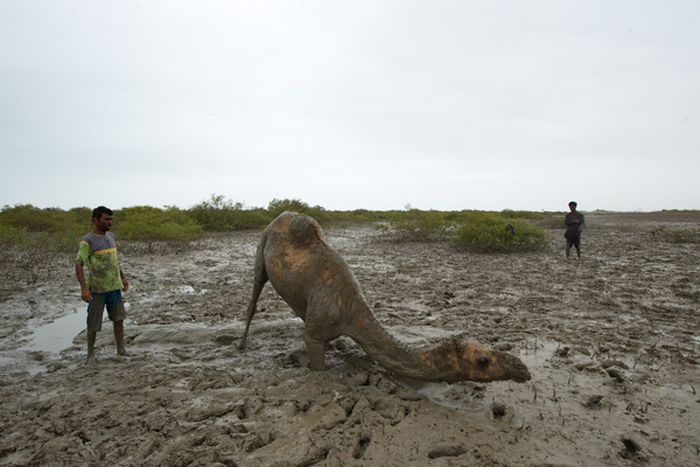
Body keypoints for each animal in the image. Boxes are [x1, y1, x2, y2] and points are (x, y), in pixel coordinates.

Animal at [241, 212, 532, 384]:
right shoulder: (316, 330)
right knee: (253, 299)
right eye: (483, 361)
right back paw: (241, 344)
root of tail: (279, 217)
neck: (351, 312)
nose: (523, 369)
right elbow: (319, 367)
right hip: (261, 247)